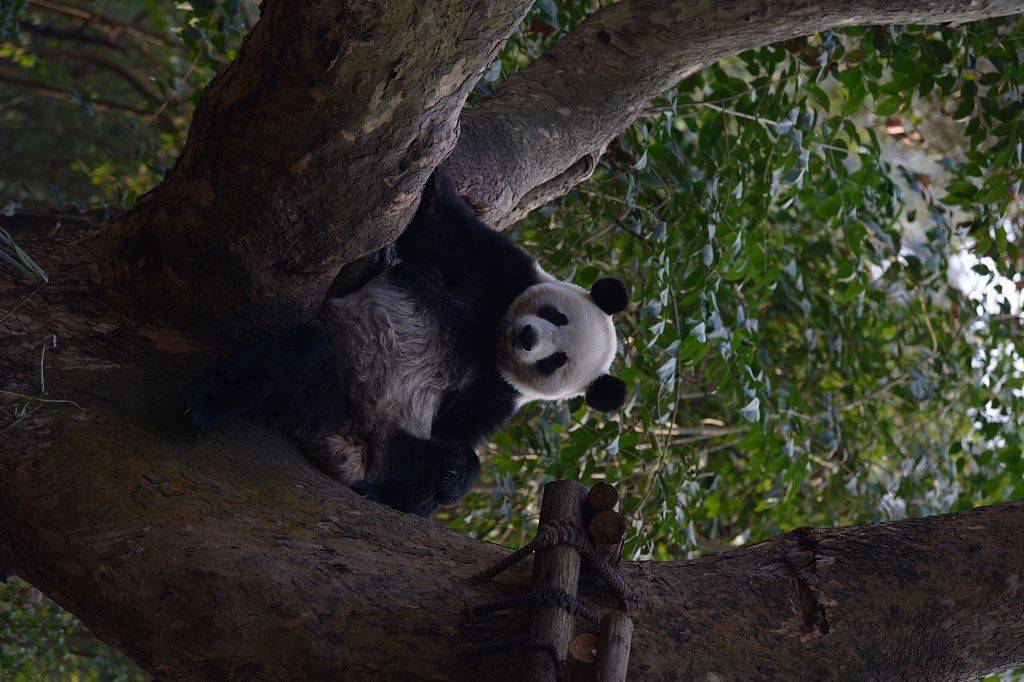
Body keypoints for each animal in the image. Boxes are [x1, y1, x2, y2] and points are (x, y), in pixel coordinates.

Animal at [183, 169, 626, 516]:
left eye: (556, 361)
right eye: (556, 315)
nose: (528, 337)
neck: (491, 338)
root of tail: (345, 443)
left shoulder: (498, 391)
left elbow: (457, 429)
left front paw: (455, 473)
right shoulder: (500, 269)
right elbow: (441, 225)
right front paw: (437, 174)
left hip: (390, 438)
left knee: (428, 472)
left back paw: (390, 491)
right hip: (338, 366)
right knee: (296, 355)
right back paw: (203, 405)